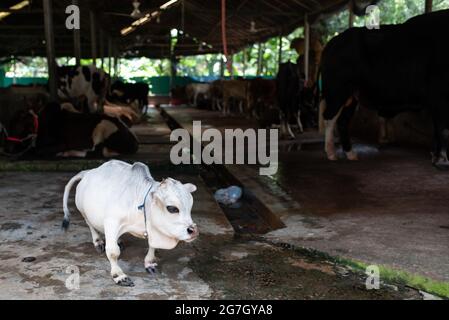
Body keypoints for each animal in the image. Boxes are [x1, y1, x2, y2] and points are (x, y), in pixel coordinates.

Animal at [4, 101, 138, 159]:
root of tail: (134, 142)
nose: (7, 148)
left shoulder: (62, 143)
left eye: (18, 126)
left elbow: (38, 150)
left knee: (96, 152)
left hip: (103, 126)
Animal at [62, 160, 198, 288]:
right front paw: (119, 276)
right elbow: (113, 252)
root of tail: (87, 172)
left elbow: (152, 246)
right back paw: (98, 241)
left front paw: (149, 263)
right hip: (83, 211)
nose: (193, 231)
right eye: (172, 208)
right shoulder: (111, 221)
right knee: (91, 225)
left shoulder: (153, 229)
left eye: (190, 206)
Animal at [318, 9, 448, 168]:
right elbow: (443, 128)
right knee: (329, 118)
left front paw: (436, 156)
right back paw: (331, 153)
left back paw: (351, 154)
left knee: (342, 121)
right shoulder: (439, 96)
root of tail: (332, 42)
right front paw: (442, 160)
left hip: (352, 96)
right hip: (338, 91)